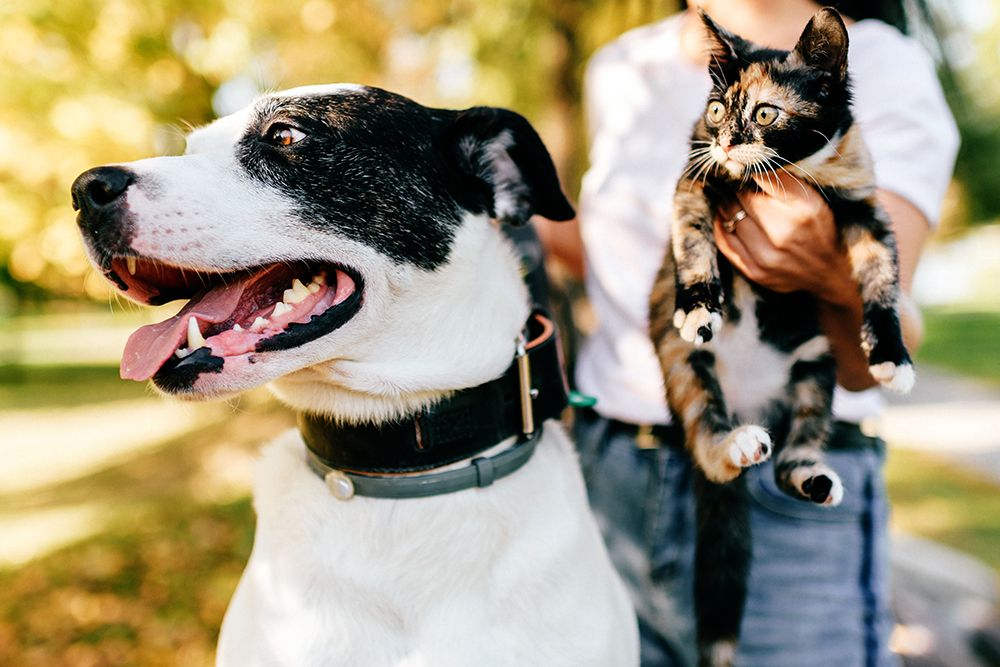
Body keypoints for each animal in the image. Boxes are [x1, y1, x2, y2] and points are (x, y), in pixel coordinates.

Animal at [648, 9, 916, 667]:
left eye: (766, 114)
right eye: (716, 109)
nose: (728, 139)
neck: (791, 171)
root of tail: (747, 407)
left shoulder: (864, 207)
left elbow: (882, 279)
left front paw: (891, 354)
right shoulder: (694, 179)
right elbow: (693, 241)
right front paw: (699, 303)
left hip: (815, 370)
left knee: (794, 451)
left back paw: (812, 478)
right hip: (686, 369)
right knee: (707, 443)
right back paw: (733, 443)